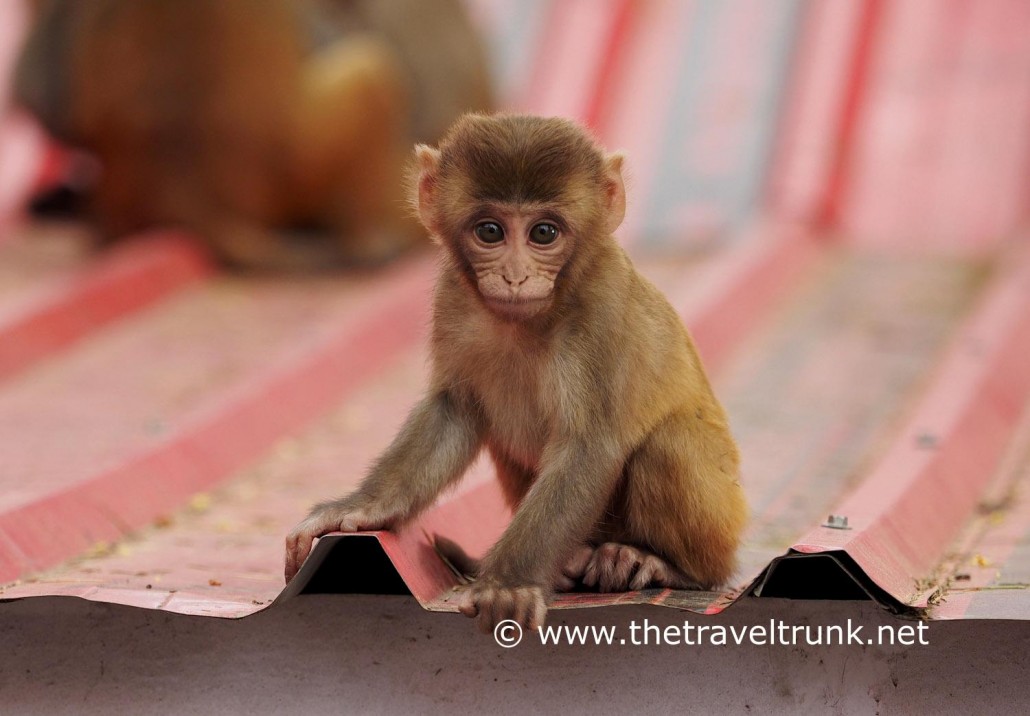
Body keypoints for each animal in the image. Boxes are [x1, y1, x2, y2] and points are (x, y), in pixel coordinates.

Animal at [284, 113, 748, 632]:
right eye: (490, 231)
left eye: (543, 233)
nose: (514, 276)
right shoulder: (453, 297)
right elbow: (454, 411)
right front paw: (364, 506)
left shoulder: (601, 305)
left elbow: (589, 446)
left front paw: (508, 583)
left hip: (723, 524)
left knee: (668, 445)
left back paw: (663, 565)